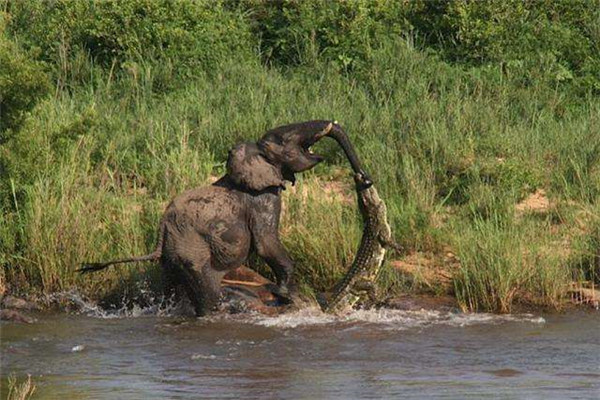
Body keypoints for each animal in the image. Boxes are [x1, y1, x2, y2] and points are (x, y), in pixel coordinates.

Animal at [79, 119, 370, 316]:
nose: (364, 179)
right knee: (208, 293)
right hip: (191, 250)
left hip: (172, 257)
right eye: (282, 140)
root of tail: (162, 231)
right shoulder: (262, 198)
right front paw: (284, 295)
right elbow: (266, 243)